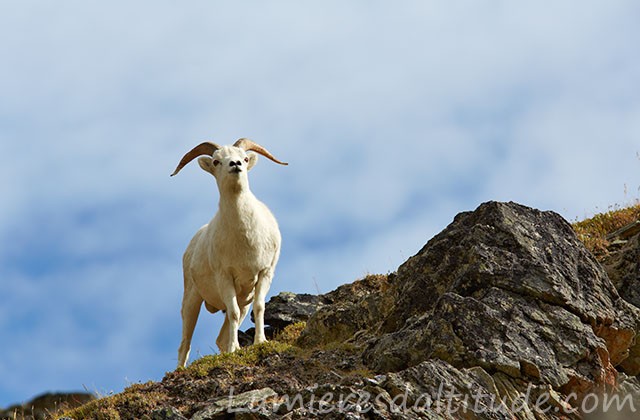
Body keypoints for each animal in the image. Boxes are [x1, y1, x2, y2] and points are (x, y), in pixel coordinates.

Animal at [171, 139, 288, 368]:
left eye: (244, 158)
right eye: (217, 161)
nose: (235, 165)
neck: (246, 238)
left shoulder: (264, 275)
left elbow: (260, 307)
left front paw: (260, 342)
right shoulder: (225, 278)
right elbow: (232, 313)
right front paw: (235, 349)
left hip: (243, 300)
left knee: (219, 338)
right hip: (191, 299)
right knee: (185, 342)